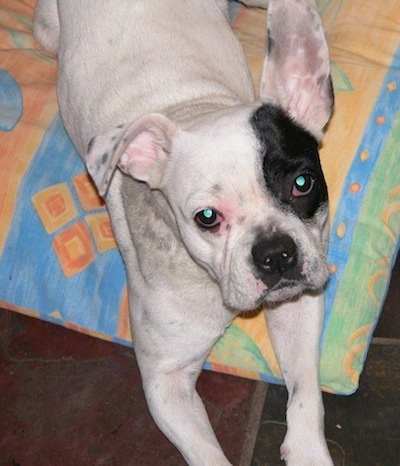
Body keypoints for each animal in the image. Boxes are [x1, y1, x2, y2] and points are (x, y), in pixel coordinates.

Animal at [33, 0, 334, 462]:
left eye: (302, 183)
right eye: (207, 217)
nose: (274, 253)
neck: (193, 105)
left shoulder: (298, 304)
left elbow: (305, 394)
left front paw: (308, 454)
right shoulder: (166, 383)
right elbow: (206, 454)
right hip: (46, 31)